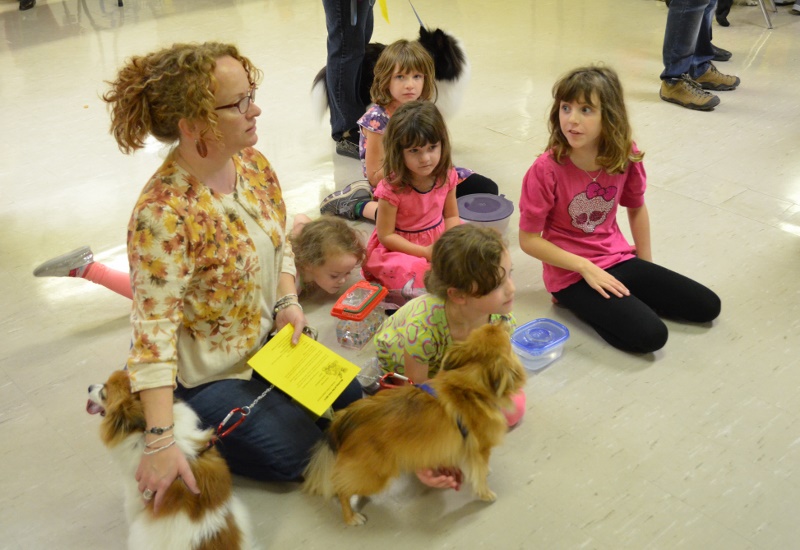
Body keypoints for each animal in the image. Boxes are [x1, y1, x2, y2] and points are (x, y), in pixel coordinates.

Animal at [304, 326, 528, 528]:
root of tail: (344, 419)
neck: (470, 386)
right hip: (375, 475)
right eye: (505, 337)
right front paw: (486, 494)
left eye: (485, 329)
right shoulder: (480, 449)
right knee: (341, 490)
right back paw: (351, 517)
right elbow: (479, 475)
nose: (502, 320)